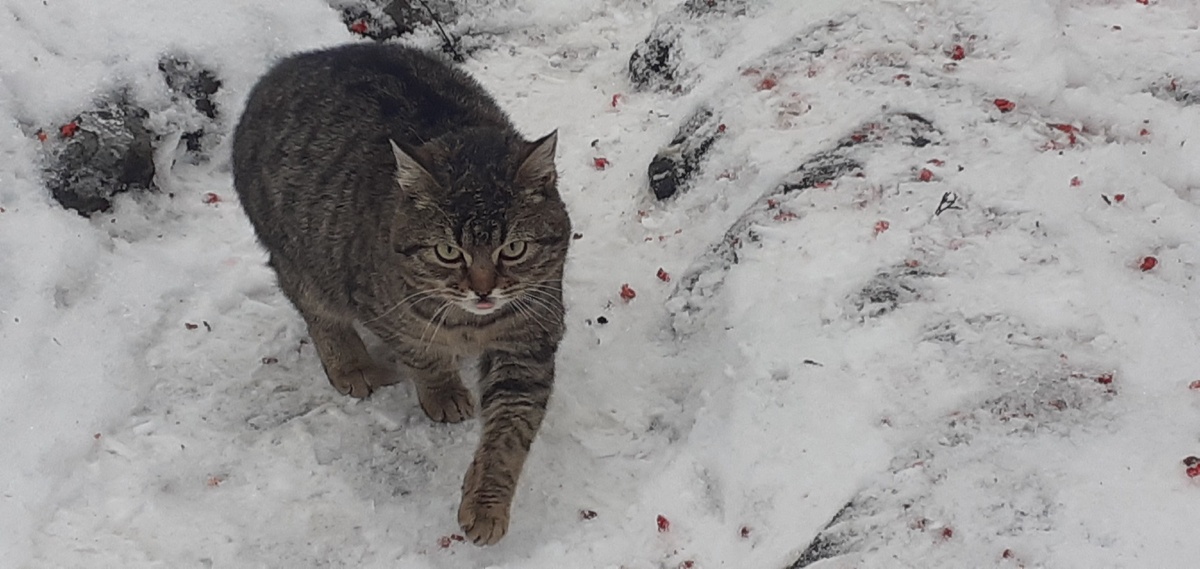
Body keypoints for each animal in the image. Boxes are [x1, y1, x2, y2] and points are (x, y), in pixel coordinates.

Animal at [236, 42, 573, 544]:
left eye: (513, 248)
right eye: (448, 251)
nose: (483, 289)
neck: (472, 324)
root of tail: (288, 64)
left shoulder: (528, 344)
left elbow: (509, 432)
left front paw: (486, 503)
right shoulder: (383, 310)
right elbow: (424, 356)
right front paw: (443, 391)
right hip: (302, 261)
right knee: (317, 313)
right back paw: (351, 364)